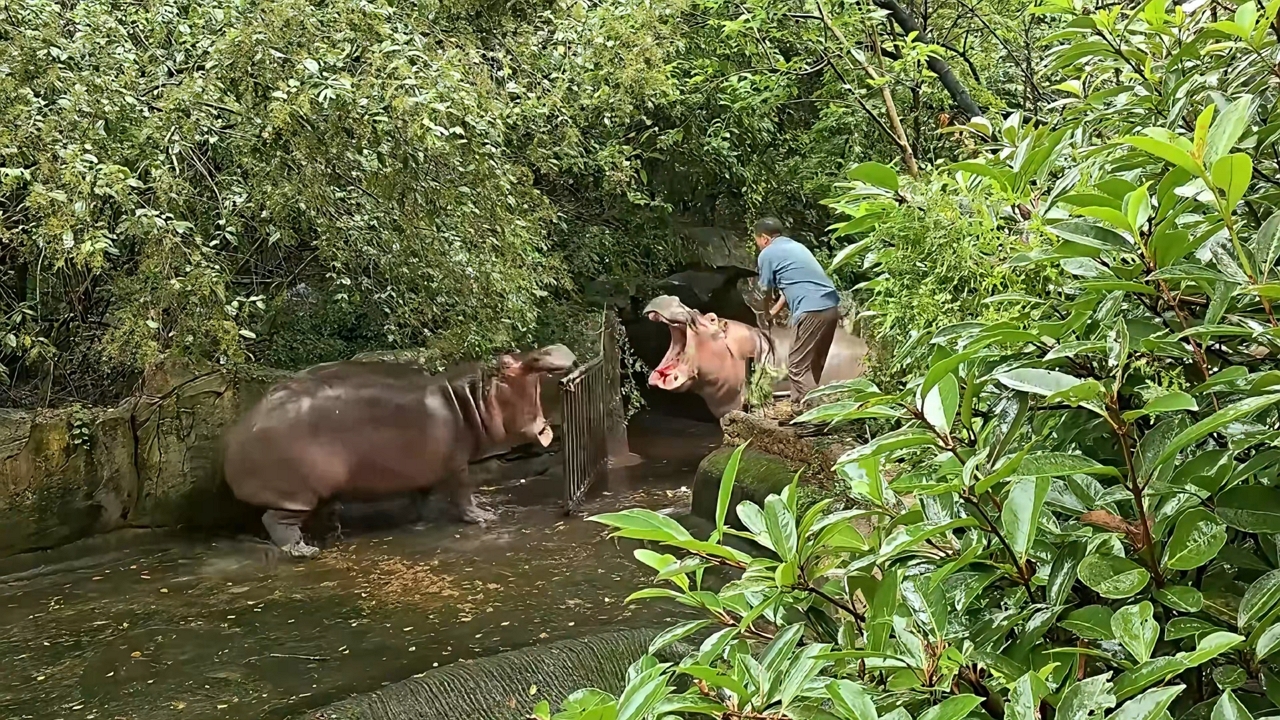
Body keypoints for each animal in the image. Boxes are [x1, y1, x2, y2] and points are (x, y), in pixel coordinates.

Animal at [223, 345, 576, 558]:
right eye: (506, 363)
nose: (555, 351)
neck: (470, 399)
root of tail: (236, 435)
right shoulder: (456, 463)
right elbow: (463, 492)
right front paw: (484, 515)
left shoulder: (424, 464)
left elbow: (422, 493)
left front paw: (421, 517)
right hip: (298, 493)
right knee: (275, 521)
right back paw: (304, 551)